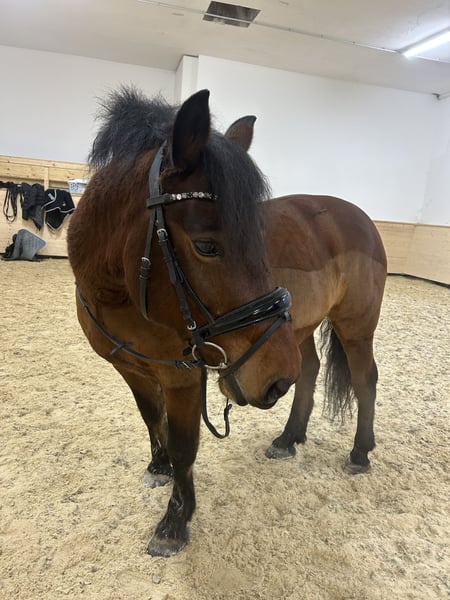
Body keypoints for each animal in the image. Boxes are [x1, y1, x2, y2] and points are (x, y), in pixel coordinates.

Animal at [67, 87, 301, 557]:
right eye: (207, 246)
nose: (280, 377)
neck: (120, 293)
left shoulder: (183, 375)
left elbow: (184, 445)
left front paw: (175, 520)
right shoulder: (131, 367)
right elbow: (150, 417)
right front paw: (159, 467)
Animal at [264, 194, 387, 473]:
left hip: (356, 328)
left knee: (365, 379)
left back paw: (360, 453)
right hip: (300, 328)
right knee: (309, 369)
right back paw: (288, 438)